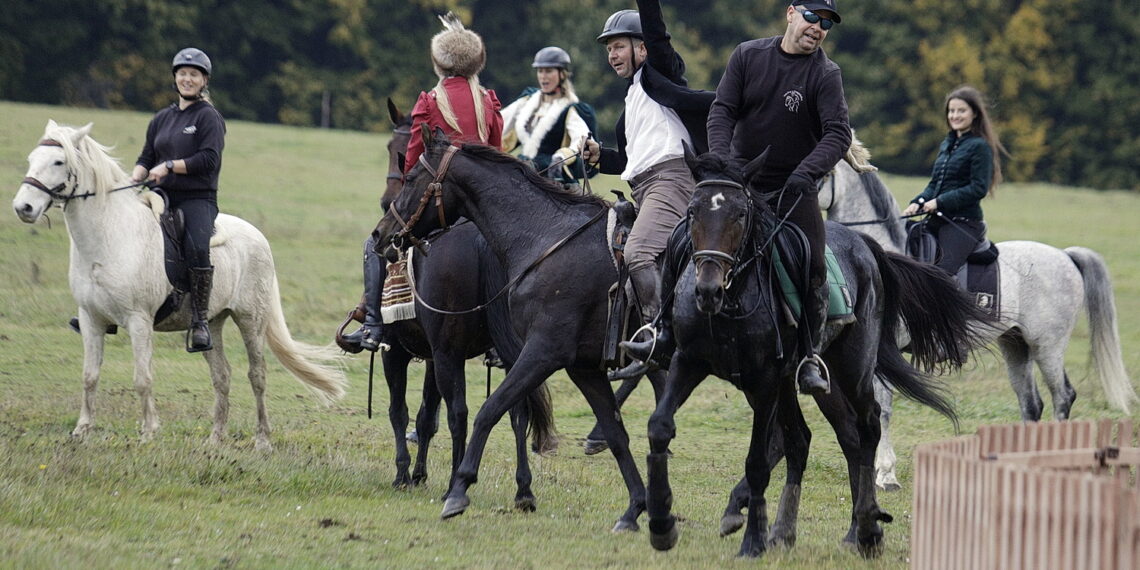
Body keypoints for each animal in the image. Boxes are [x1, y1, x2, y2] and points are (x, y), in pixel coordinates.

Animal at [13, 120, 344, 449]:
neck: (109, 237)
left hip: (251, 319)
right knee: (222, 375)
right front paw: (82, 430)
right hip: (212, 322)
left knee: (257, 375)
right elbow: (89, 375)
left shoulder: (139, 320)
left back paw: (262, 440)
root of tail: (258, 237)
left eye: (59, 161)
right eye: (31, 158)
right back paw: (215, 439)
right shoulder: (90, 318)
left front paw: (148, 431)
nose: (23, 207)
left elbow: (142, 378)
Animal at [378, 127, 670, 531]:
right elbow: (616, 433)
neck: (546, 238)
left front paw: (459, 487)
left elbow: (487, 410)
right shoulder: (582, 367)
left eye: (409, 177)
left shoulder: (543, 352)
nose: (381, 235)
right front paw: (634, 508)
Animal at [647, 150, 994, 556]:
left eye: (740, 214)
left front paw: (752, 541)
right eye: (692, 212)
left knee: (866, 427)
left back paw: (866, 529)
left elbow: (758, 460)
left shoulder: (764, 381)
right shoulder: (689, 362)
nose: (707, 290)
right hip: (810, 383)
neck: (732, 301)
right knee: (824, 438)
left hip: (851, 371)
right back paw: (797, 530)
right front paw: (661, 524)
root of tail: (865, 245)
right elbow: (660, 426)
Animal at [825, 152, 1135, 490]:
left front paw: (886, 474)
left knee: (1062, 397)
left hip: (1048, 346)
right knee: (1031, 403)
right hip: (1016, 345)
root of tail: (1066, 256)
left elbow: (882, 409)